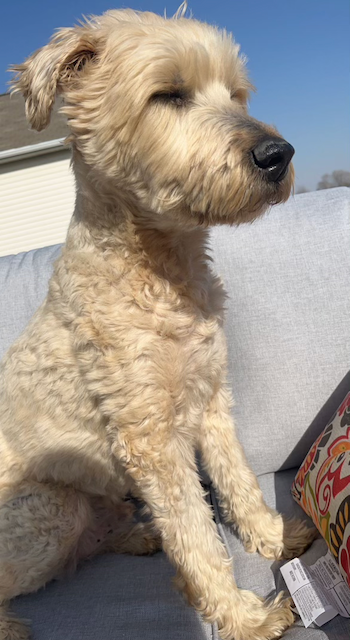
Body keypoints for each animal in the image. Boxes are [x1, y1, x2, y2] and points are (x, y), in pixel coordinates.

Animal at [0, 6, 316, 640]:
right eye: (168, 94)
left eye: (237, 93)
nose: (279, 154)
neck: (160, 269)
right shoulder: (152, 442)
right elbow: (197, 537)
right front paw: (245, 617)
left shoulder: (211, 398)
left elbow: (238, 480)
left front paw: (274, 538)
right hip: (46, 509)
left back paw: (136, 535)